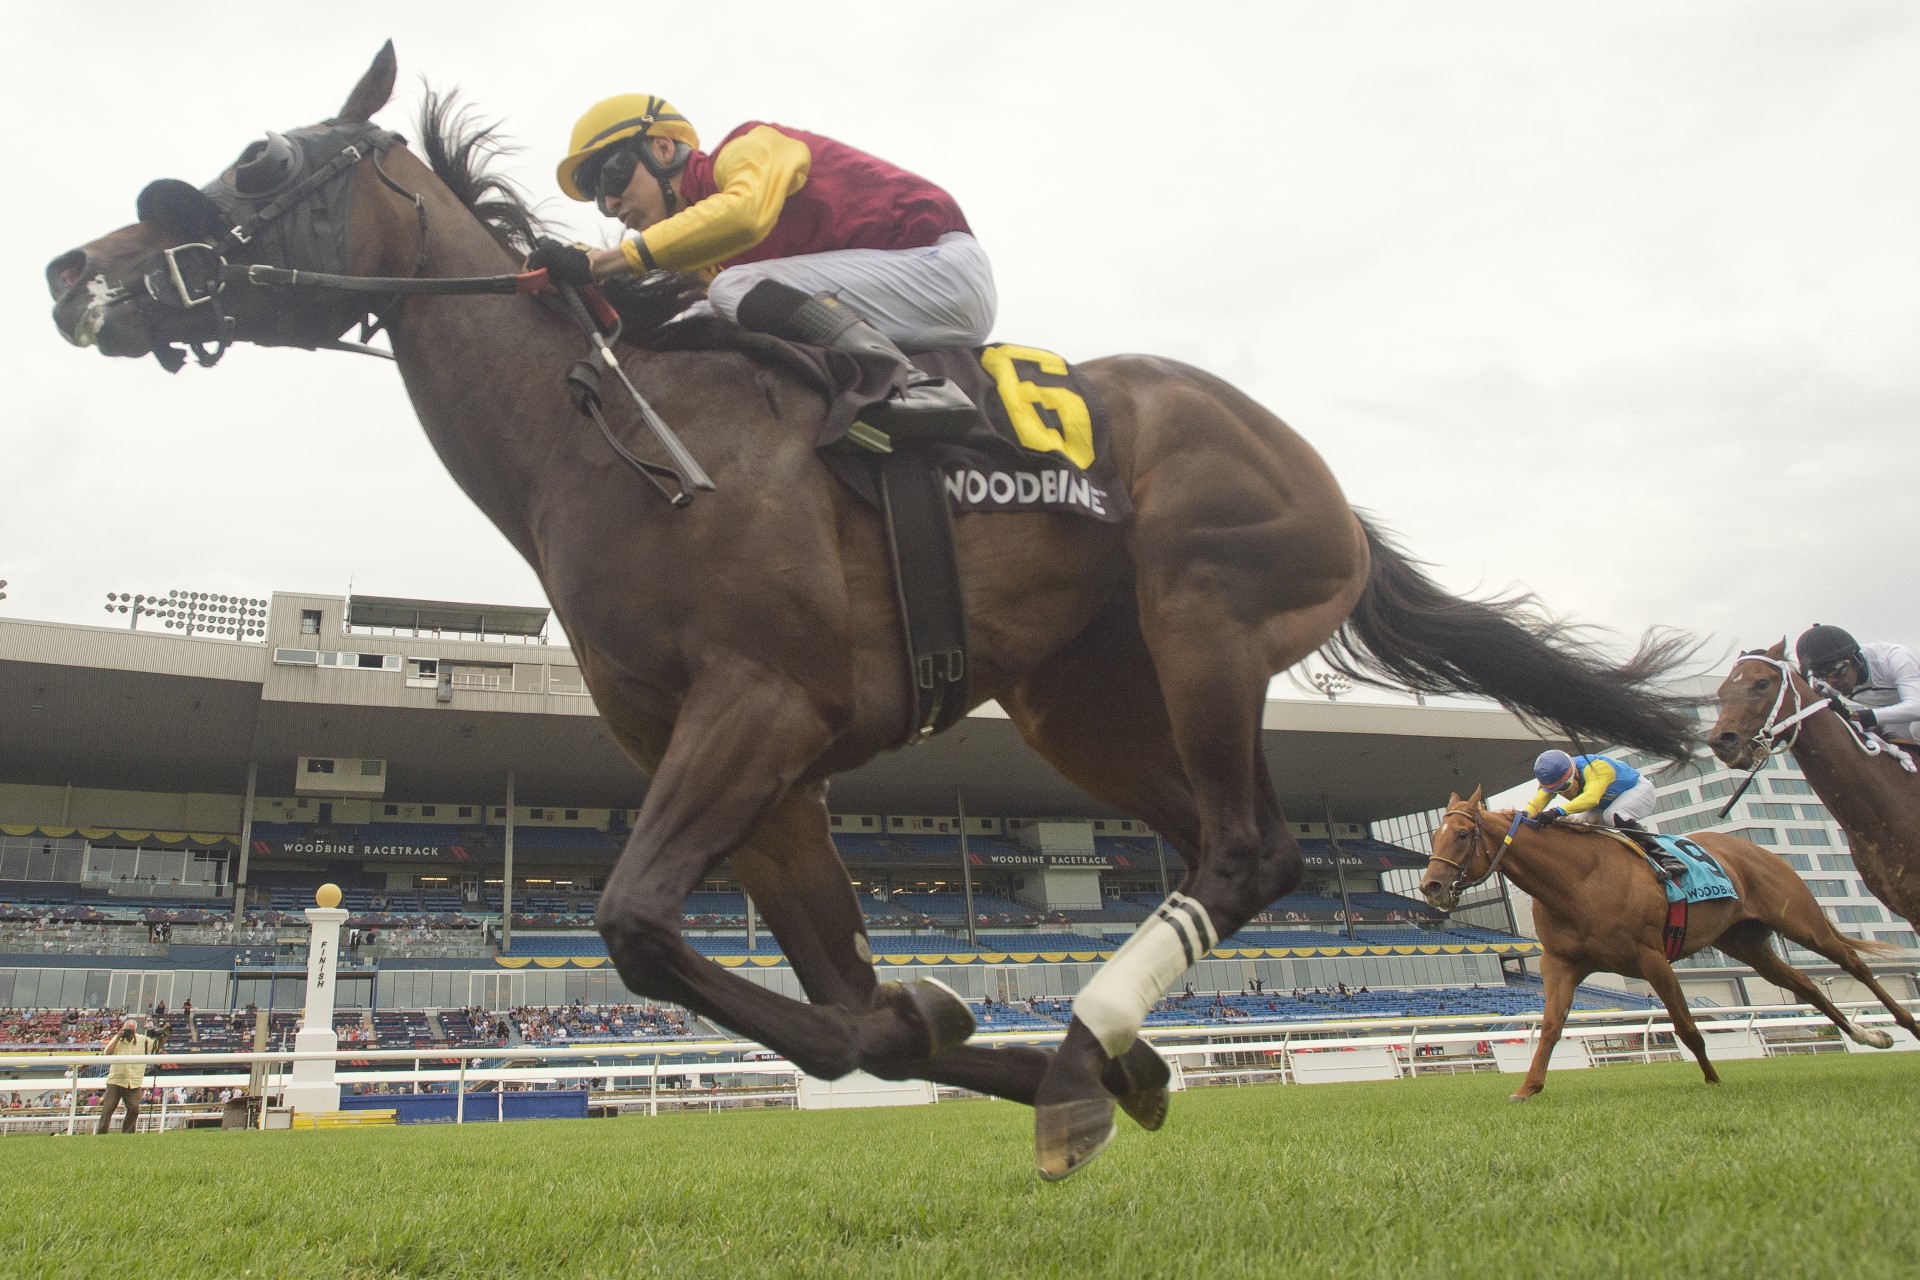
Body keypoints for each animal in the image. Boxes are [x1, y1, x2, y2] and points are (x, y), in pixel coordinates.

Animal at [41, 42, 1697, 1182]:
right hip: (1082, 701)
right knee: (1254, 853)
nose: (72, 270)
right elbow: (828, 1007)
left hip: (1206, 610)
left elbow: (636, 925)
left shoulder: (761, 709)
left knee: (1244, 844)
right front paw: (974, 1029)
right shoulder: (760, 772)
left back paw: (1093, 1042)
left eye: (263, 163)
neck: (621, 433)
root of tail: (1330, 487)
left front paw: (1011, 1044)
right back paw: (1099, 1053)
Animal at [1420, 790, 1912, 1105]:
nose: (1430, 886)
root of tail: (1754, 848)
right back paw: (1871, 1035)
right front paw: (1527, 1088)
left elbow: (1687, 1027)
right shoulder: (1562, 963)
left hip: (1800, 921)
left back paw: (1905, 1023)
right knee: (1806, 987)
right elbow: (1552, 1028)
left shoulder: (1651, 958)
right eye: (1433, 837)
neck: (1578, 880)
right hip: (1746, 943)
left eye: (1461, 835)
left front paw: (1713, 1079)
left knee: (1852, 963)